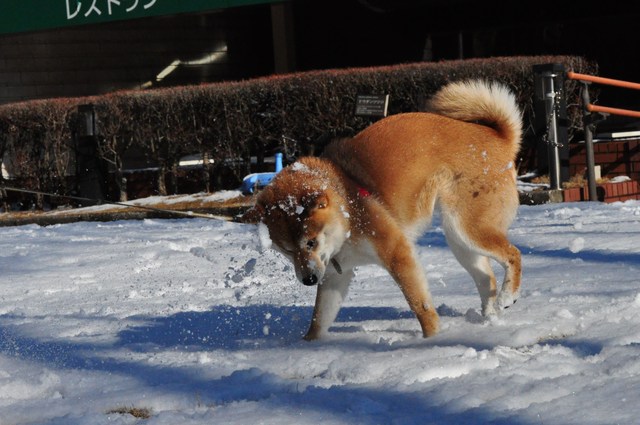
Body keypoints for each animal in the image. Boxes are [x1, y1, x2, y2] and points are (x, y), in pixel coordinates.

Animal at [242, 78, 524, 338]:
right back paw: (488, 321)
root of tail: (498, 138)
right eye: (287, 251)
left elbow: (419, 304)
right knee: (486, 277)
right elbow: (320, 318)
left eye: (310, 242)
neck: (348, 207)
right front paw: (308, 346)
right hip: (459, 241)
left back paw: (507, 296)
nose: (308, 280)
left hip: (468, 228)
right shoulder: (334, 273)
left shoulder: (397, 253)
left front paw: (432, 339)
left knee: (514, 254)